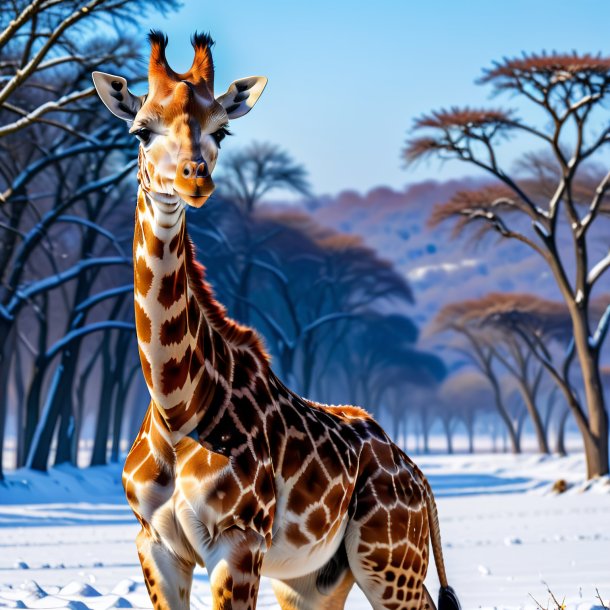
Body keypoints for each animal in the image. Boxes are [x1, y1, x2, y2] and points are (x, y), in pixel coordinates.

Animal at [92, 32, 458, 608]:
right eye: (140, 129)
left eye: (222, 128)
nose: (194, 180)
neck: (177, 406)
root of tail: (419, 478)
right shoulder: (154, 544)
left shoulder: (239, 540)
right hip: (317, 579)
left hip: (390, 559)